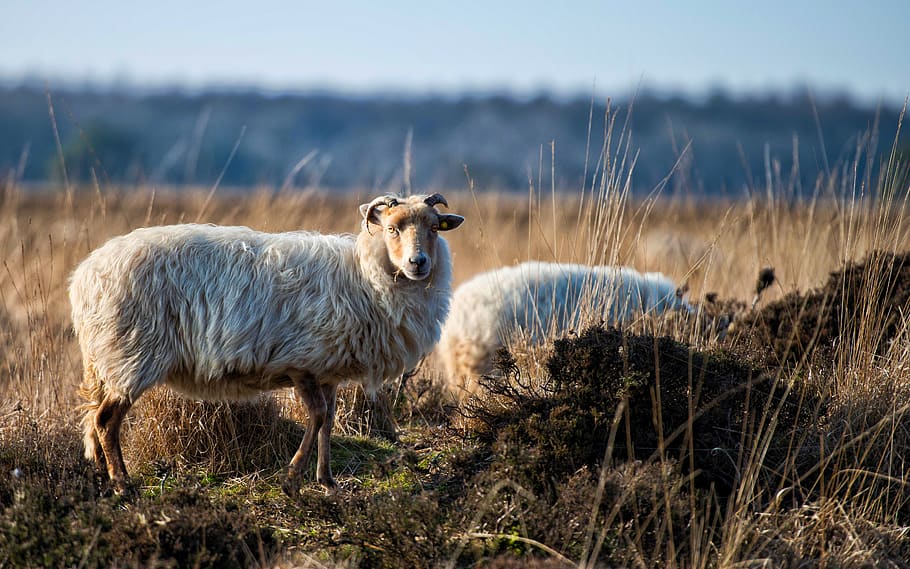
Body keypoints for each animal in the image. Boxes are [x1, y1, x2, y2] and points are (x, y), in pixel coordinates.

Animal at [70, 193, 464, 495]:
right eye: (392, 228)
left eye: (433, 228)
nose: (418, 262)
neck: (363, 276)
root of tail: (84, 276)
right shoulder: (302, 363)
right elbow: (317, 416)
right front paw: (292, 478)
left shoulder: (328, 369)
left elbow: (329, 420)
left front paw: (327, 480)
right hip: (132, 353)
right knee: (105, 420)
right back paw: (123, 483)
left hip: (110, 356)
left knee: (95, 417)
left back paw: (104, 474)